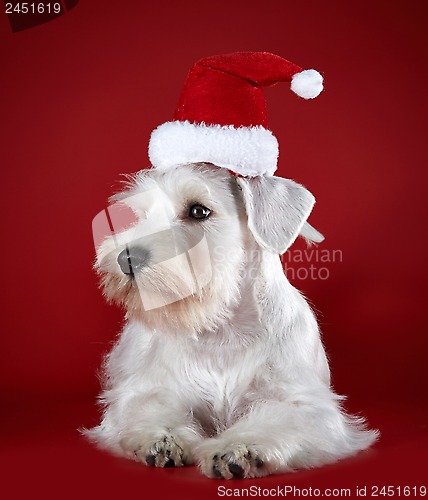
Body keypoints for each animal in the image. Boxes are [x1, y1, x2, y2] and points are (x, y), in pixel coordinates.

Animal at [86, 162, 378, 478]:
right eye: (142, 215)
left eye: (199, 211)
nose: (126, 258)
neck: (222, 330)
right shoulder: (148, 391)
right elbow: (152, 408)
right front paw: (163, 438)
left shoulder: (304, 405)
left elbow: (276, 421)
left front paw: (238, 448)